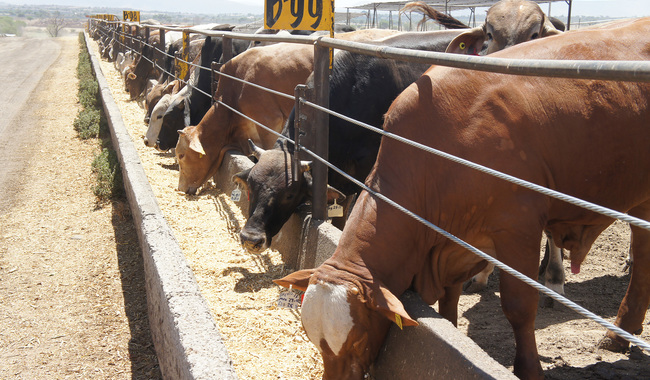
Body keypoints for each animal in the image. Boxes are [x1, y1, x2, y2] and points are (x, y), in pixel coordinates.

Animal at [274, 17, 648, 380]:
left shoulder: (518, 230)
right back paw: (620, 333)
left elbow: (519, 307)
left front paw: (529, 369)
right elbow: (449, 300)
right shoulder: (454, 243)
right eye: (316, 341)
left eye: (358, 339)